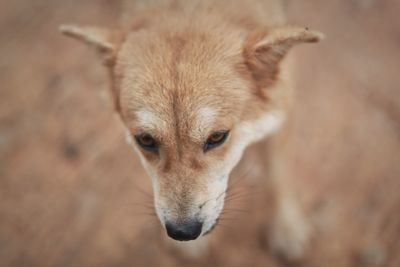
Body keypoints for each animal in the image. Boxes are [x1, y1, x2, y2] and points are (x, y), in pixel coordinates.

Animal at [59, 0, 322, 260]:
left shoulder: (283, 111)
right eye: (145, 140)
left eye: (217, 137)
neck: (187, 7)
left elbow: (277, 176)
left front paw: (286, 226)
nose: (182, 233)